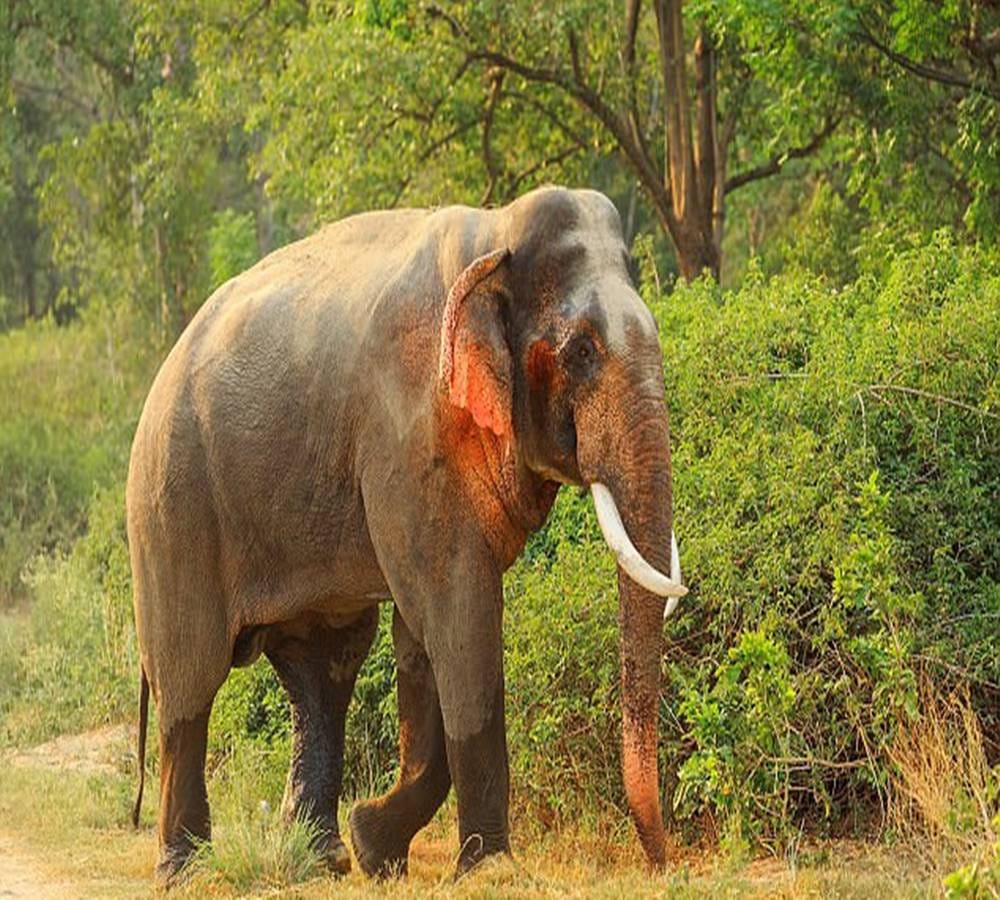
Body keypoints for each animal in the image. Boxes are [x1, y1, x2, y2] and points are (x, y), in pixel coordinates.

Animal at [126, 185, 687, 884]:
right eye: (581, 352)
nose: (663, 864)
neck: (494, 237)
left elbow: (422, 636)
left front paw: (376, 844)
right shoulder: (406, 436)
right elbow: (458, 613)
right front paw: (487, 869)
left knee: (326, 669)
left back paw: (322, 860)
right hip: (172, 506)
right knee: (191, 678)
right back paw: (188, 870)